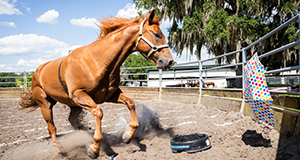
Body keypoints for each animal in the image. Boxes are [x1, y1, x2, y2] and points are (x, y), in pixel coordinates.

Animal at [19, 9, 173, 159]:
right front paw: (94, 149)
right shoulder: (79, 95)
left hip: (74, 106)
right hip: (46, 104)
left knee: (73, 121)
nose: (169, 61)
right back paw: (60, 150)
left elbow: (130, 103)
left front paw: (127, 136)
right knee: (52, 128)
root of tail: (37, 71)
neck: (96, 61)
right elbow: (98, 112)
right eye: (157, 34)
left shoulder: (110, 95)